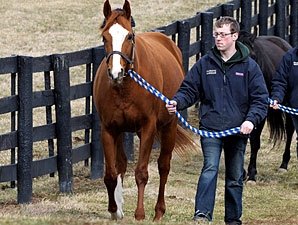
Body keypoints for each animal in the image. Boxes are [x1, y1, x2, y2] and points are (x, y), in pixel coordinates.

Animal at [92, 0, 197, 221]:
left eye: (129, 36)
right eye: (104, 37)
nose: (116, 73)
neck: (125, 88)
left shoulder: (148, 127)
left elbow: (141, 172)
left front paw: (139, 213)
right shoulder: (109, 129)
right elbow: (111, 174)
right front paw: (114, 210)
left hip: (168, 127)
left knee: (164, 166)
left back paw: (159, 211)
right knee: (122, 165)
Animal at [237, 31, 294, 183]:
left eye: (253, 56)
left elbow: (255, 141)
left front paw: (251, 175)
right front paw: (242, 172)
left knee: (290, 129)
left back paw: (283, 165)